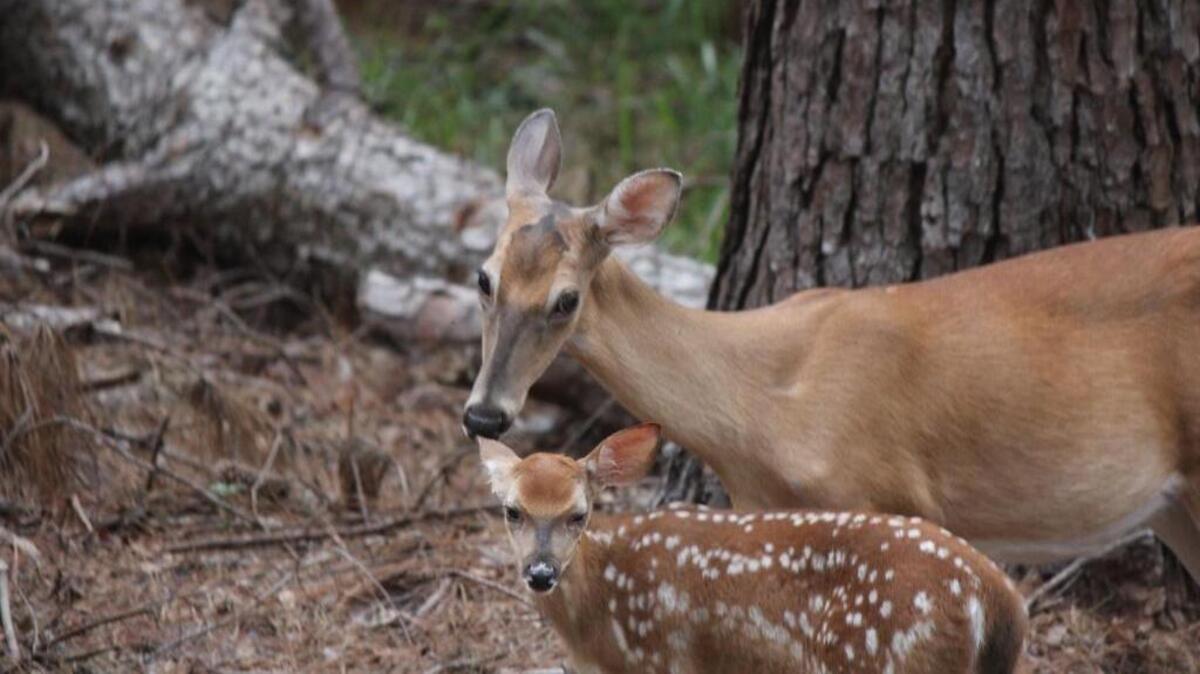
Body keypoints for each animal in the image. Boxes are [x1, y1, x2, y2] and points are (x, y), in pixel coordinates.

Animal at [462, 108, 1200, 585]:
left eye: (566, 300)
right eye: (482, 277)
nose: (484, 414)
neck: (763, 407)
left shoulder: (888, 494)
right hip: (1173, 503)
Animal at [479, 423, 1028, 674]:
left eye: (579, 513)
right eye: (512, 510)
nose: (541, 573)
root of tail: (998, 594)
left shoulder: (663, 659)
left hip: (879, 655)